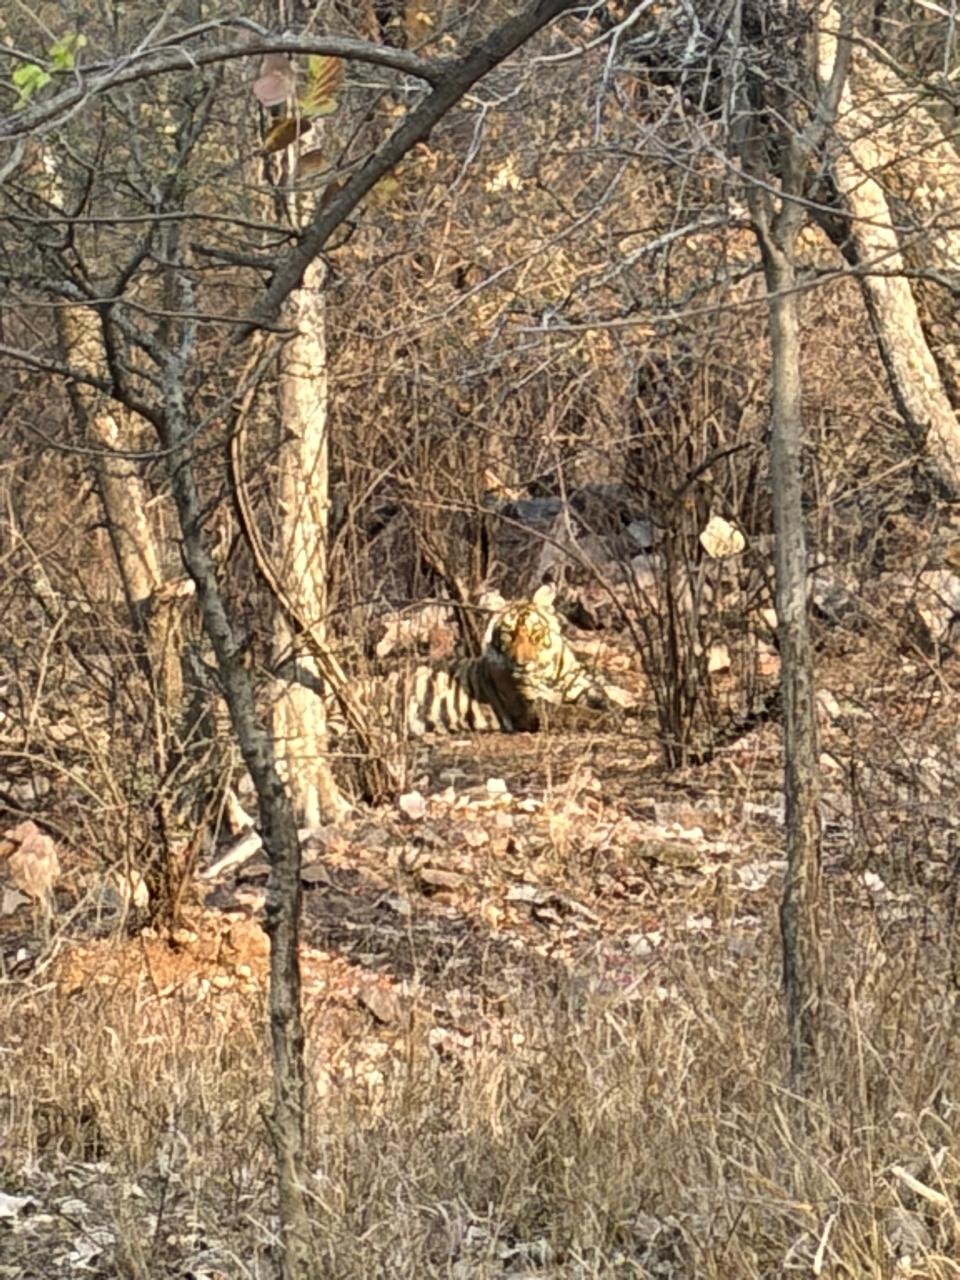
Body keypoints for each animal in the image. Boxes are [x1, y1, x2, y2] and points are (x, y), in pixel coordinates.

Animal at [321, 584, 635, 738]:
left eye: (534, 634)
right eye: (509, 634)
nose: (522, 663)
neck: (548, 671)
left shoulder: (583, 685)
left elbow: (604, 697)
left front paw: (626, 712)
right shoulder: (533, 707)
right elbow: (574, 712)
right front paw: (612, 720)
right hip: (342, 717)